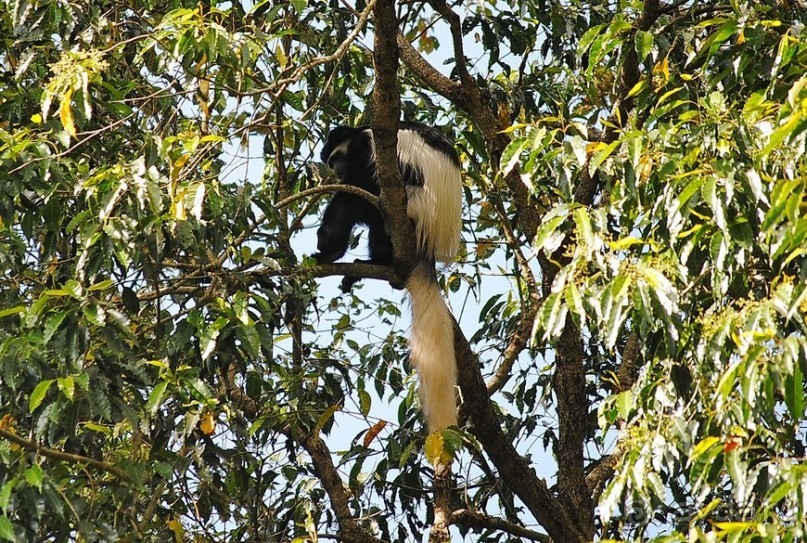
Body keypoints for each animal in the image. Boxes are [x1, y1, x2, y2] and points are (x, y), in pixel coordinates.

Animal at [318, 123, 468, 434]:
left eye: (336, 157)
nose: (336, 170)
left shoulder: (367, 148)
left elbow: (357, 185)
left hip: (413, 207)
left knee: (354, 199)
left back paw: (332, 249)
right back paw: (379, 266)